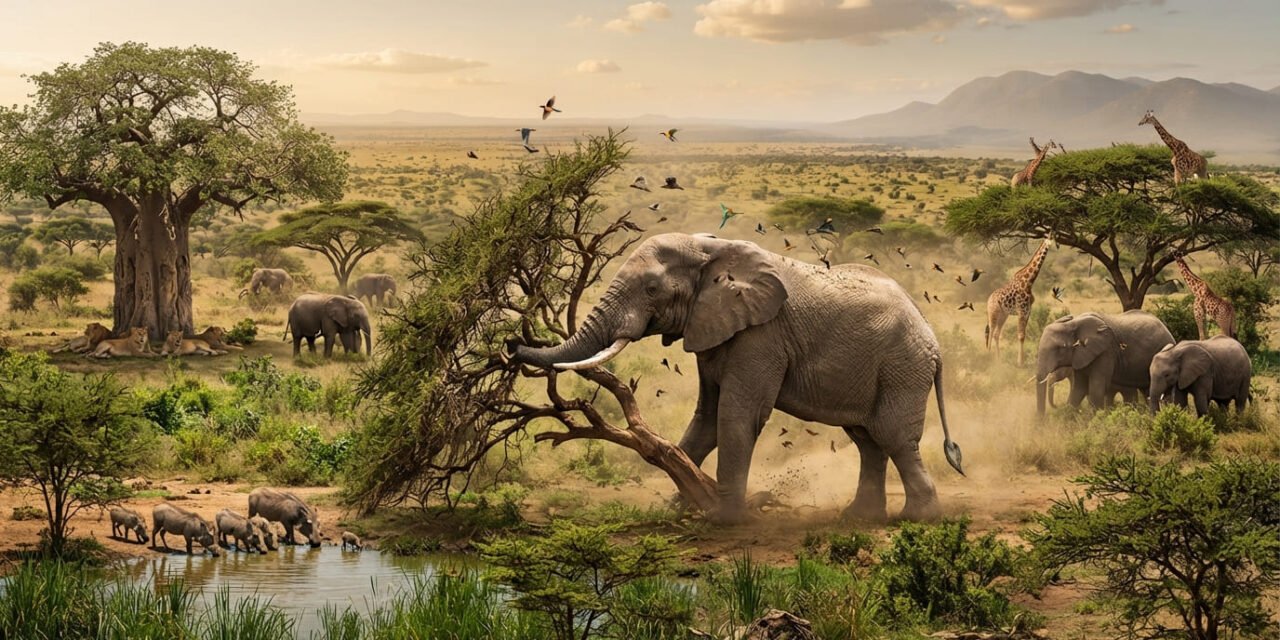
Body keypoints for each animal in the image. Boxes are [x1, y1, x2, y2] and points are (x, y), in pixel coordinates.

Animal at [510, 233, 963, 524]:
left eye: (652, 288)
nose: (512, 345)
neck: (710, 249)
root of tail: (933, 339)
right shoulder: (712, 326)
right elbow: (706, 418)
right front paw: (677, 510)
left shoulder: (761, 335)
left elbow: (737, 414)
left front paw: (724, 519)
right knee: (867, 439)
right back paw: (859, 518)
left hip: (902, 367)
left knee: (892, 435)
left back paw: (917, 519)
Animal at [1035, 311, 1174, 416]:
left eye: (1059, 349)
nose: (1041, 422)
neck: (1073, 323)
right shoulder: (1080, 356)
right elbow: (1079, 388)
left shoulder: (1105, 352)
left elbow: (1096, 389)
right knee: (1146, 391)